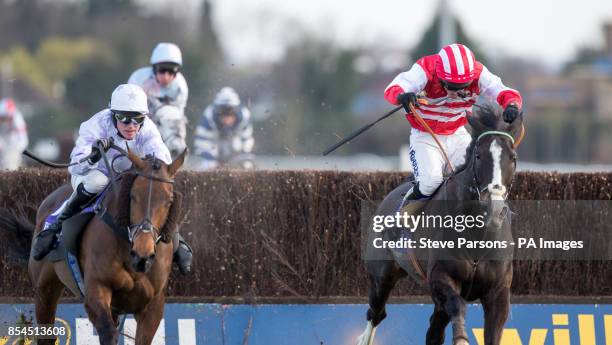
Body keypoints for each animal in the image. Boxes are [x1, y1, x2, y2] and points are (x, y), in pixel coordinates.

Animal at [1, 148, 185, 344]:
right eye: (133, 196)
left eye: (169, 200)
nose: (143, 254)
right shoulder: (96, 289)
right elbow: (108, 333)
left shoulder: (153, 305)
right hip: (45, 289)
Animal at [356, 105, 524, 344]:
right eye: (479, 156)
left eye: (513, 157)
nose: (494, 207)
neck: (477, 235)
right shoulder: (440, 278)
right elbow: (456, 304)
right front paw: (461, 338)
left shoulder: (498, 292)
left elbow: (492, 333)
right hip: (382, 277)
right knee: (376, 313)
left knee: (433, 331)